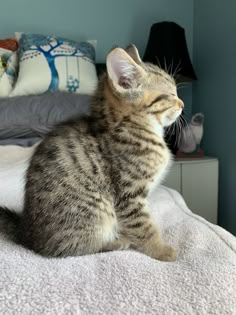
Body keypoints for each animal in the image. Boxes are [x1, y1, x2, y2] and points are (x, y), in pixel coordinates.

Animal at [19, 45, 183, 262]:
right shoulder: (128, 195)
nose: (182, 104)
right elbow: (143, 226)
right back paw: (117, 242)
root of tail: (27, 237)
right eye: (170, 95)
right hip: (96, 211)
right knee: (72, 248)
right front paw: (162, 250)